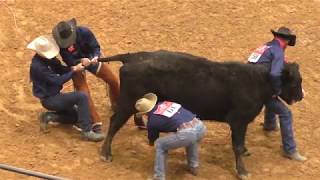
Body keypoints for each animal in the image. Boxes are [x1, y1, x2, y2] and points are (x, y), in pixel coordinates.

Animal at [97, 50, 302, 179]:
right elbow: (236, 146)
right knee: (114, 123)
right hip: (127, 104)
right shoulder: (238, 120)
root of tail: (133, 57)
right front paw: (242, 171)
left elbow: (240, 144)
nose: (301, 96)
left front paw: (245, 152)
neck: (257, 80)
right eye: (295, 82)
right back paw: (105, 153)